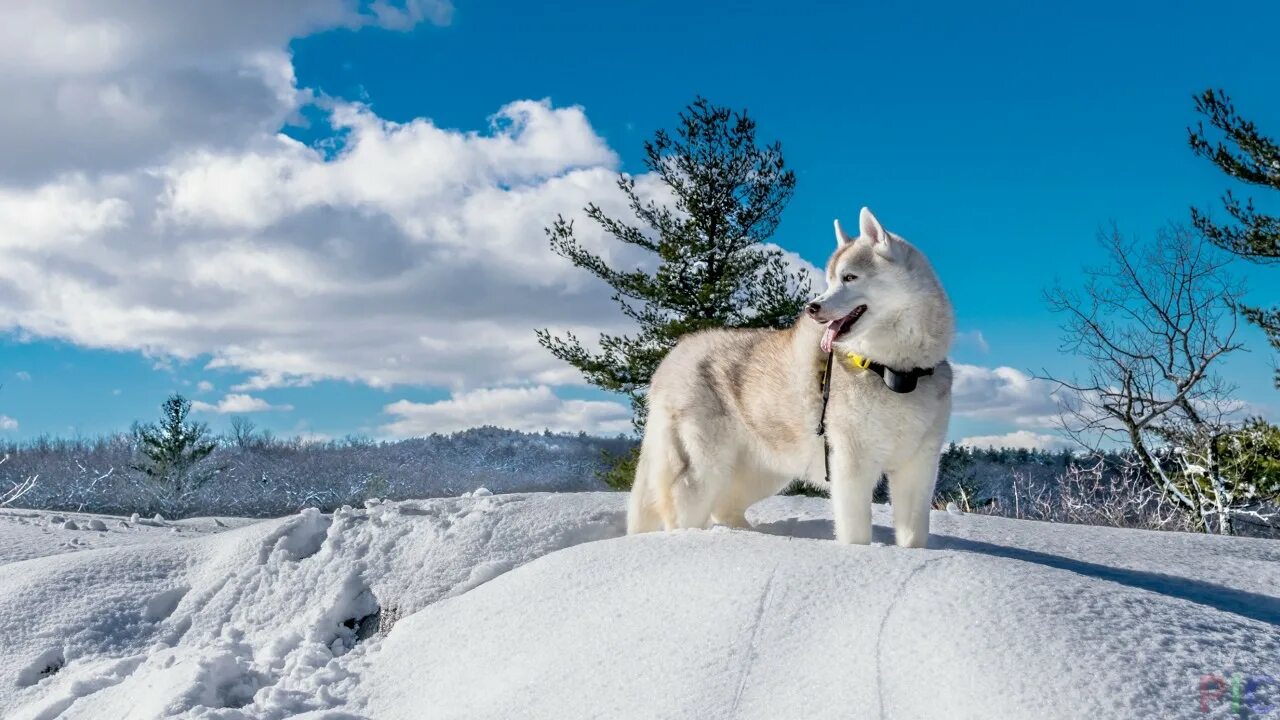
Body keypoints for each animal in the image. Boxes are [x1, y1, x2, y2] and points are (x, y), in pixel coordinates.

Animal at [624, 207, 957, 543]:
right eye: (830, 280)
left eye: (849, 277)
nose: (812, 307)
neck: (892, 371)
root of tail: (674, 355)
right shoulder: (851, 465)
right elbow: (856, 534)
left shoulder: (918, 469)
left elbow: (913, 538)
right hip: (703, 470)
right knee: (683, 513)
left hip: (765, 471)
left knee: (724, 507)